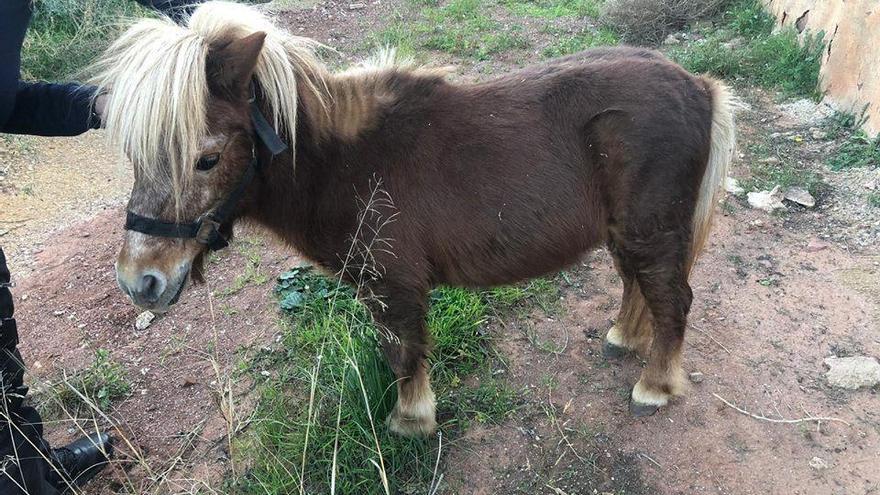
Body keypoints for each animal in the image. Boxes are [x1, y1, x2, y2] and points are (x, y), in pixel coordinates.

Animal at [94, 0, 736, 438]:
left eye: (206, 158)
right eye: (134, 155)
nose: (140, 281)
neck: (345, 166)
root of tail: (699, 85)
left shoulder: (394, 286)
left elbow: (404, 352)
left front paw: (410, 421)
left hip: (652, 230)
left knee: (671, 299)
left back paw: (654, 387)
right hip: (628, 231)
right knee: (637, 284)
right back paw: (624, 338)